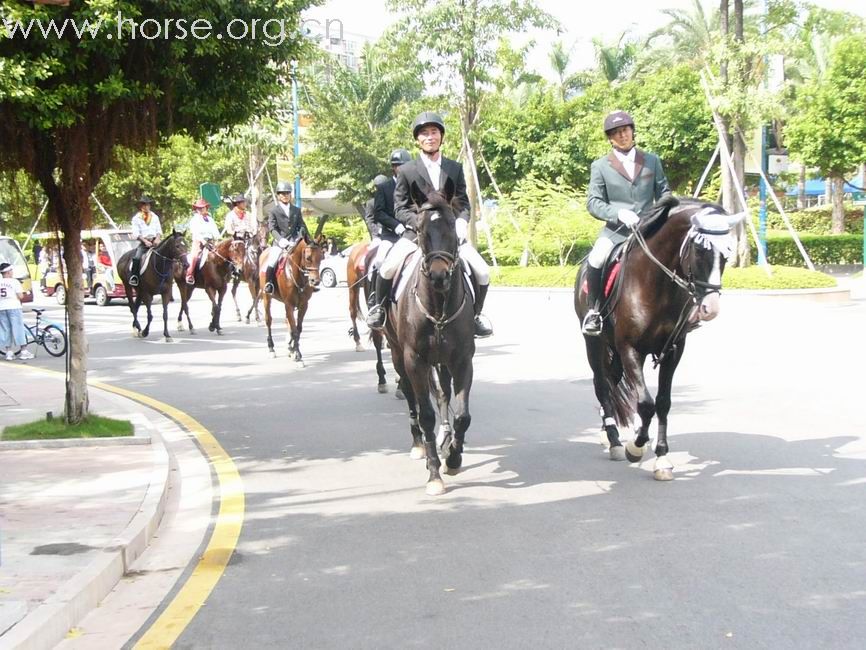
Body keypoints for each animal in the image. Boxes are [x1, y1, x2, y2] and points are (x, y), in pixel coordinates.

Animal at [384, 195, 476, 494]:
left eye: (453, 232)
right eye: (422, 233)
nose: (439, 276)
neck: (438, 306)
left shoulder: (462, 360)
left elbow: (462, 415)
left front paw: (454, 458)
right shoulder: (415, 360)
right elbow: (425, 414)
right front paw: (435, 473)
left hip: (442, 361)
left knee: (443, 395)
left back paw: (446, 441)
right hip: (398, 353)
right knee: (411, 396)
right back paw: (420, 445)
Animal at [572, 199, 744, 480]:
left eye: (727, 254)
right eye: (700, 251)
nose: (710, 308)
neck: (657, 284)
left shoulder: (673, 350)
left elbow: (663, 402)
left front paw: (662, 457)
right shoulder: (630, 349)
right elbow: (645, 404)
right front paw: (636, 447)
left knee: (612, 384)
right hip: (594, 344)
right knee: (602, 385)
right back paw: (614, 440)